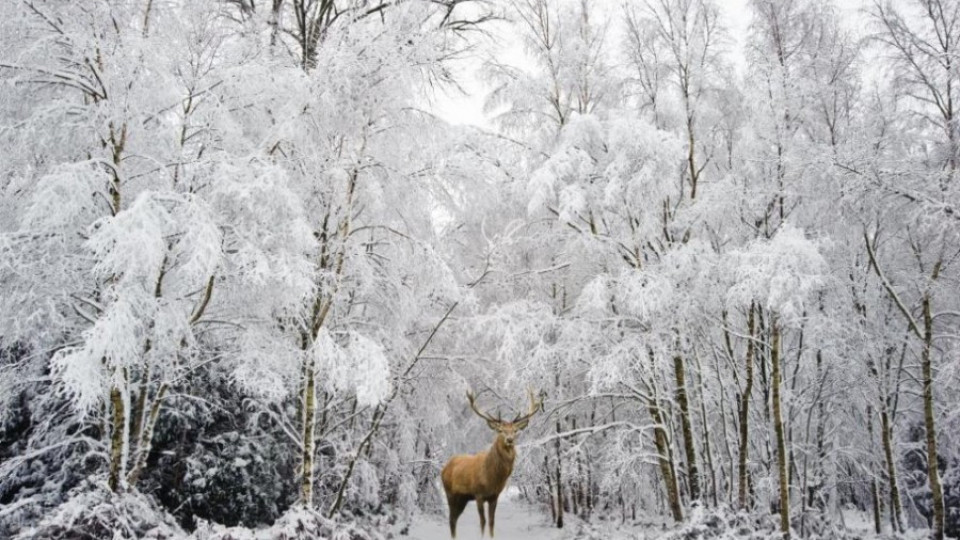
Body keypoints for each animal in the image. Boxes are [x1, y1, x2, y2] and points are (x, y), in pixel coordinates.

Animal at [440, 390, 540, 536]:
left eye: (515, 430)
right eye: (501, 430)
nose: (509, 439)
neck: (492, 477)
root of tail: (444, 468)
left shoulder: (494, 496)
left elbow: (492, 522)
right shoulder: (479, 494)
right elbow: (483, 522)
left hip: (463, 498)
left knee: (454, 518)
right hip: (450, 492)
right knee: (451, 519)